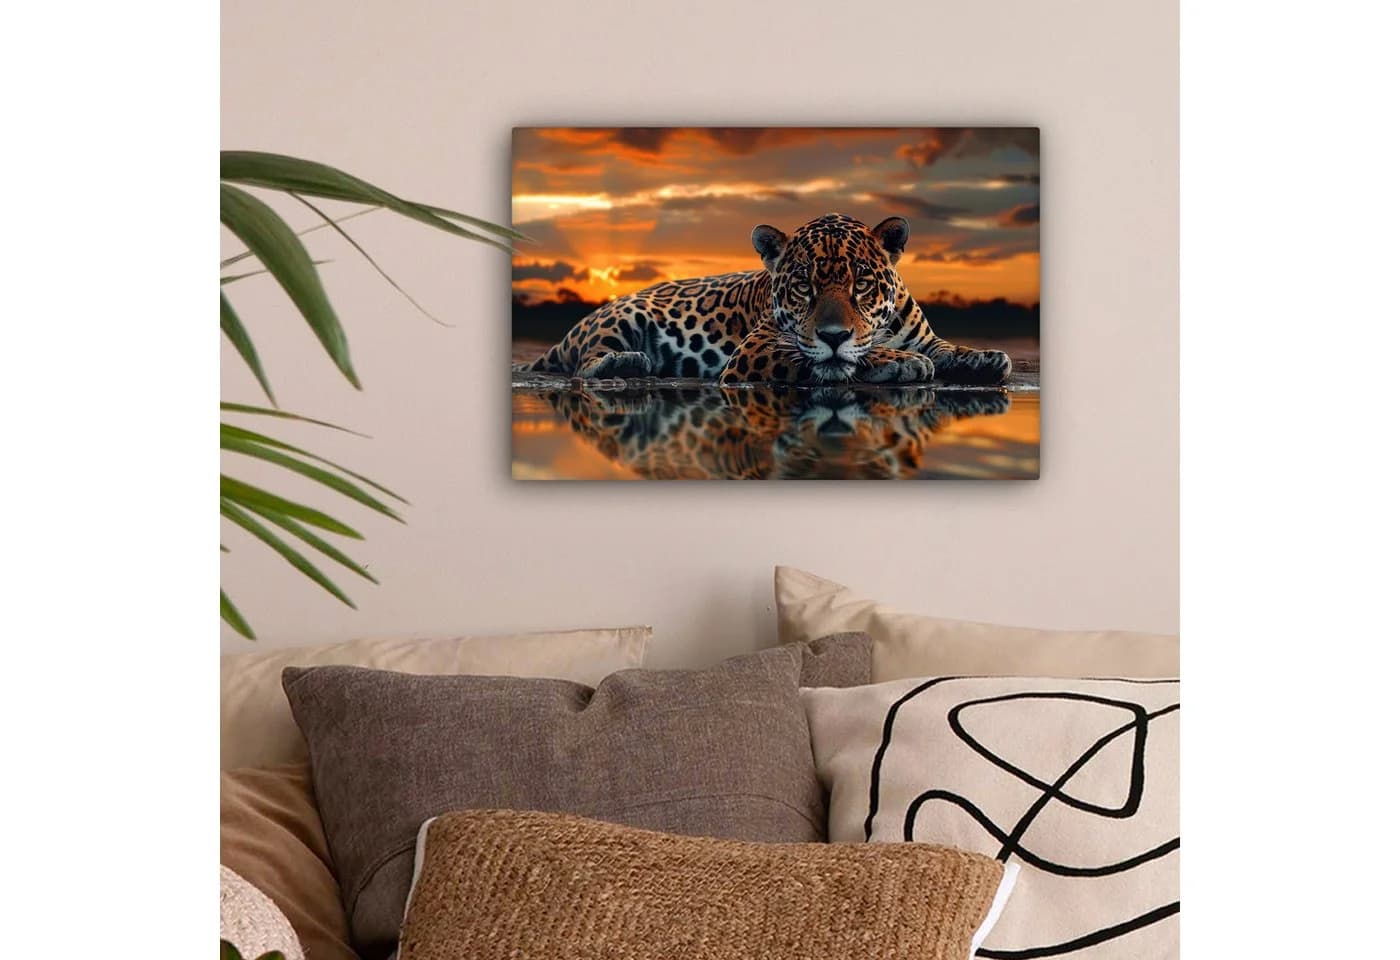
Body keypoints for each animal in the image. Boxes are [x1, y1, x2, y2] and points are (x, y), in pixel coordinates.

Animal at [517, 213, 1012, 386]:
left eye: (862, 284)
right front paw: (899, 362)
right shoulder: (757, 349)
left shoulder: (924, 336)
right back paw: (628, 362)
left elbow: (947, 348)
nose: (834, 333)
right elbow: (839, 357)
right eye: (803, 287)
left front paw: (985, 358)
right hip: (621, 317)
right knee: (584, 364)